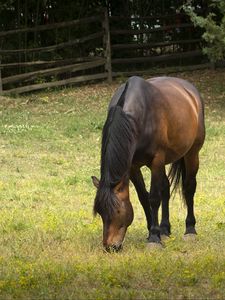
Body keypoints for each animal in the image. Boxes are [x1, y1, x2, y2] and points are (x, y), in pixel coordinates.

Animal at [91, 76, 206, 252]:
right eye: (101, 213)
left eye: (117, 211)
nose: (110, 247)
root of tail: (191, 91)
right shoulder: (132, 166)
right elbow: (144, 197)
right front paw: (154, 231)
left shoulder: (156, 161)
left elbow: (153, 198)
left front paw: (154, 239)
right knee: (165, 188)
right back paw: (165, 229)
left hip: (192, 153)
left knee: (189, 187)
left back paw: (190, 230)